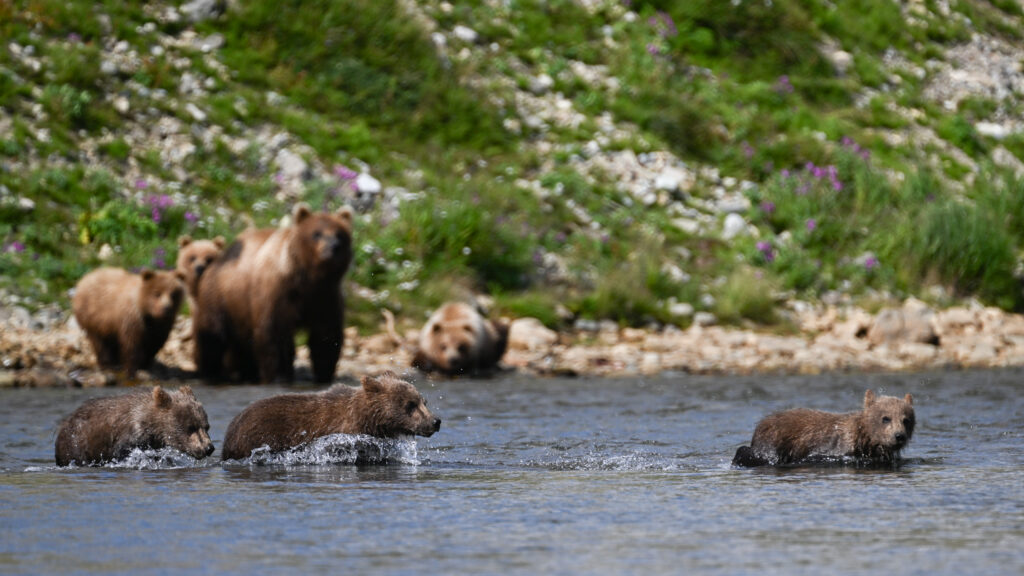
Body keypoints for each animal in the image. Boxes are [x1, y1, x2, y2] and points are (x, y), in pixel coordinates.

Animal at [193, 203, 353, 383]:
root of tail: (217, 260)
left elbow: (326, 334)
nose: (334, 246)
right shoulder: (278, 292)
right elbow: (274, 333)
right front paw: (278, 375)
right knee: (212, 336)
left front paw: (324, 374)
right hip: (220, 299)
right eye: (317, 233)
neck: (308, 278)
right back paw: (211, 371)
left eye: (340, 234)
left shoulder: (325, 295)